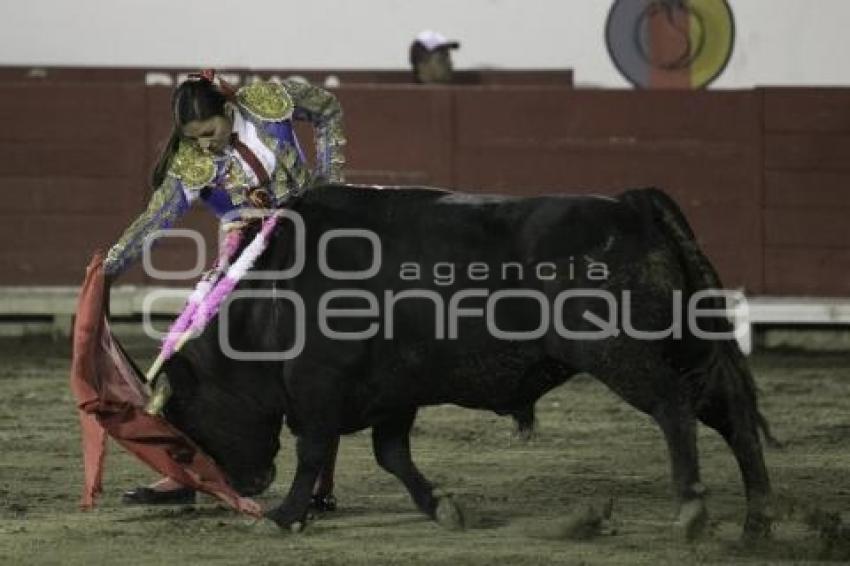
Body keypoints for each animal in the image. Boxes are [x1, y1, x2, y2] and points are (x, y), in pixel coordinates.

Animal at [159, 186, 776, 540]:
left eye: (186, 417)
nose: (240, 486)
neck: (270, 297)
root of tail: (635, 204)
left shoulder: (318, 389)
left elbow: (314, 452)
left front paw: (286, 515)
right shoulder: (393, 393)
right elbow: (392, 455)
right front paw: (443, 508)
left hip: (620, 353)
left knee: (674, 409)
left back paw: (692, 511)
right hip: (689, 347)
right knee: (734, 419)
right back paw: (756, 524)